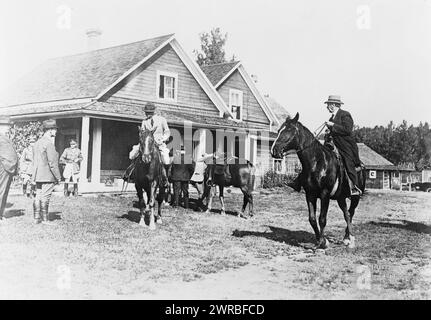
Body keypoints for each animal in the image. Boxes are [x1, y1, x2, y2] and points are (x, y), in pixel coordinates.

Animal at [272, 113, 366, 250]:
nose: (274, 150)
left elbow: (322, 218)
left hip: (355, 197)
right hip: (341, 197)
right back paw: (346, 238)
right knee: (346, 214)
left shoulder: (324, 194)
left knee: (351, 213)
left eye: (289, 130)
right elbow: (312, 218)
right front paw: (319, 240)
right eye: (279, 130)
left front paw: (323, 242)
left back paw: (350, 238)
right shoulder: (310, 194)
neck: (317, 162)